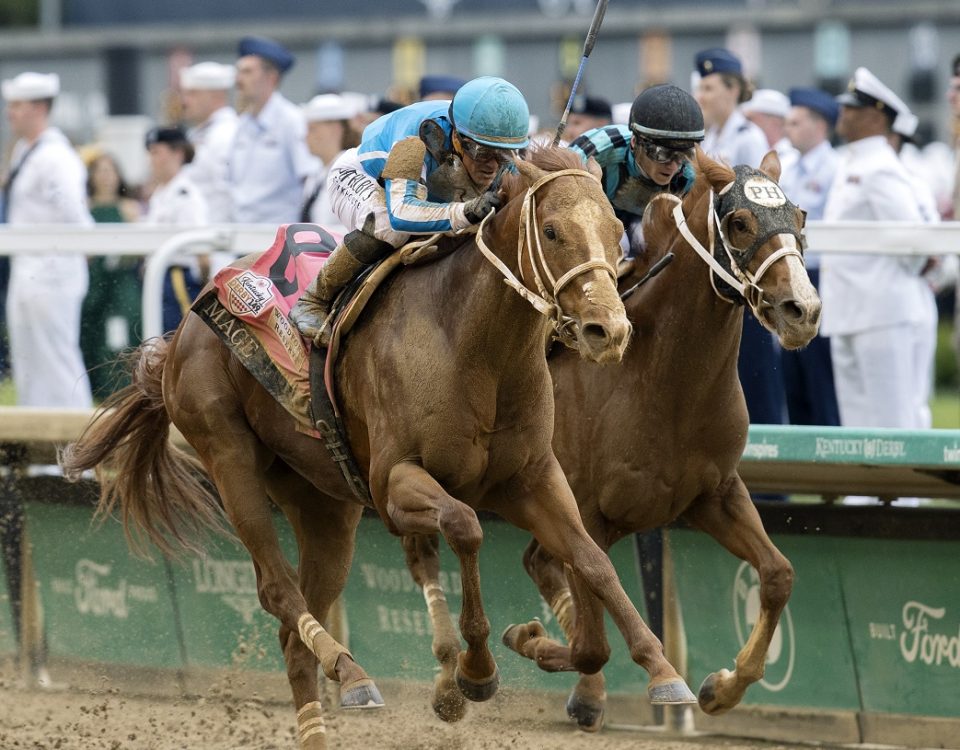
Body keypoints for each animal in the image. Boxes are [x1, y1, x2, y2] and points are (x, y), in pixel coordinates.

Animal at [62, 148, 696, 750]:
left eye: (616, 230)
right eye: (552, 231)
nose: (608, 331)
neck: (473, 347)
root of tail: (185, 327)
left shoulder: (532, 479)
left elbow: (591, 559)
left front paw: (660, 669)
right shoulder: (396, 485)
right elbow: (466, 526)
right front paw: (476, 671)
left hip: (324, 506)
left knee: (293, 632)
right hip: (228, 456)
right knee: (276, 590)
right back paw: (353, 672)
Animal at [404, 150, 816, 732]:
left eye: (799, 217)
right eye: (739, 222)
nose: (803, 309)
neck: (663, 381)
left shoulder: (712, 495)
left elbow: (778, 575)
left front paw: (723, 687)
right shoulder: (585, 510)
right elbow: (592, 640)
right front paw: (539, 650)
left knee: (538, 562)